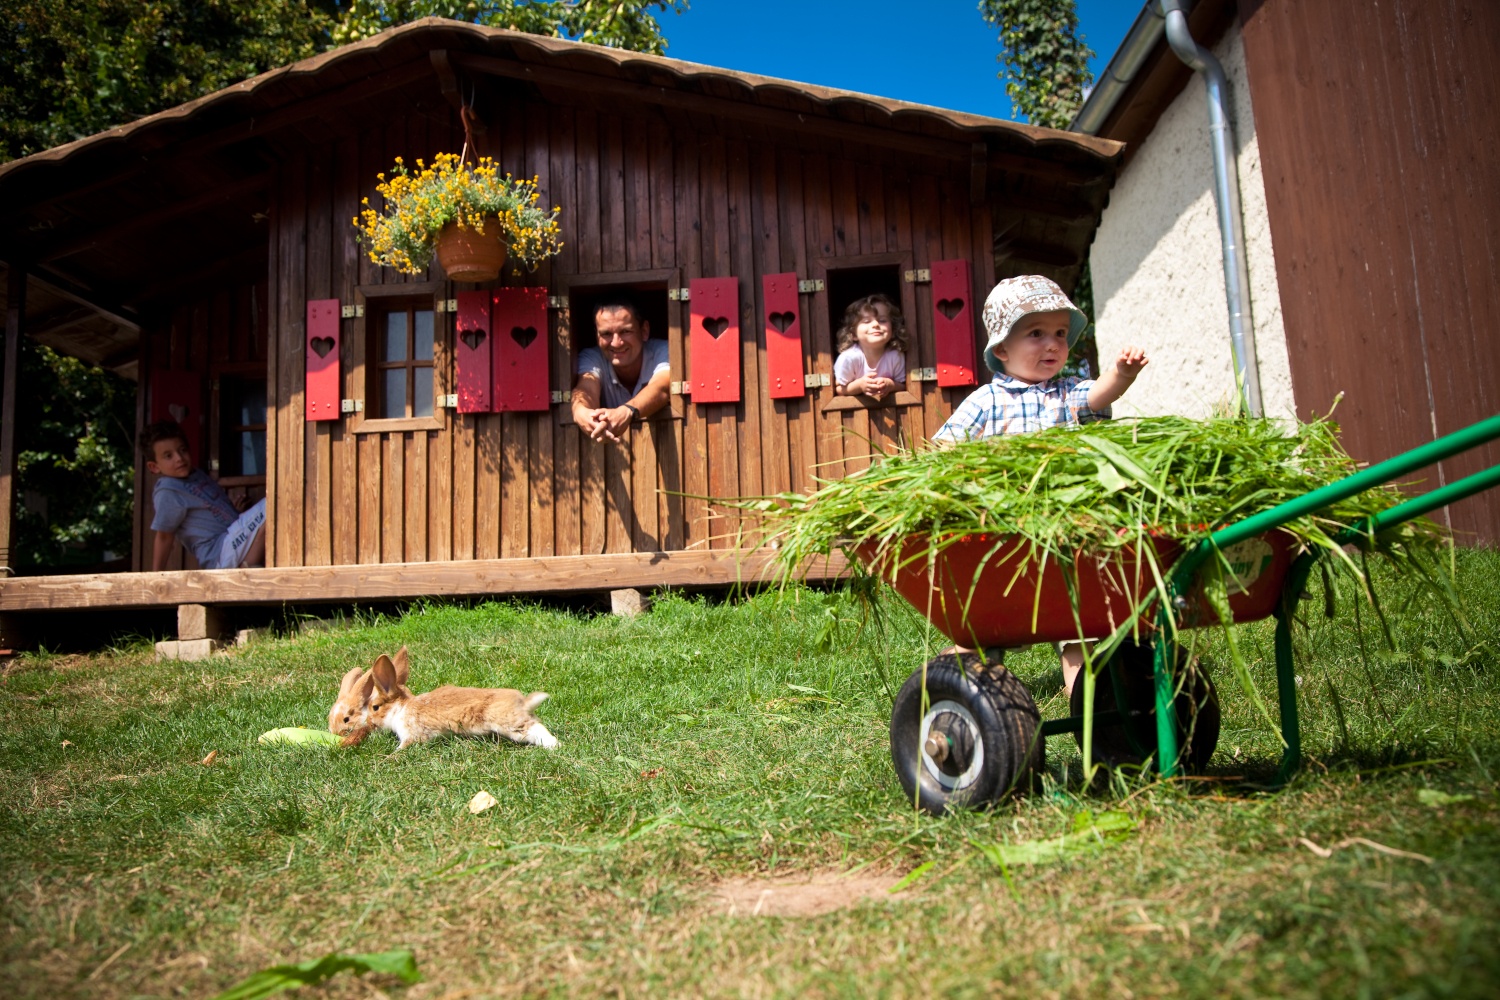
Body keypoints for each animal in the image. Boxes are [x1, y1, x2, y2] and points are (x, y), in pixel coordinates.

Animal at [360, 650, 561, 749]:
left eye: (375, 707)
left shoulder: (412, 734)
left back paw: (554, 746)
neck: (401, 709)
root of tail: (523, 703)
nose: (369, 723)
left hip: (509, 722)